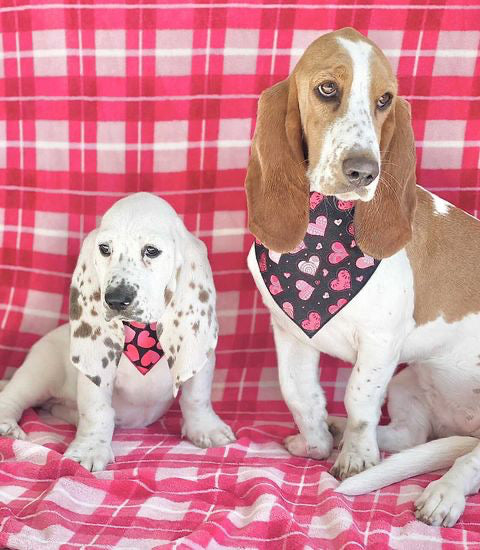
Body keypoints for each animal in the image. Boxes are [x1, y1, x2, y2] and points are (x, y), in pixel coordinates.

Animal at [0, 193, 234, 470]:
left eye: (151, 250)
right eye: (104, 249)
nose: (116, 299)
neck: (143, 332)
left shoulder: (199, 358)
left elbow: (196, 397)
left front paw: (206, 429)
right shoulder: (97, 369)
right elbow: (97, 411)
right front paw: (90, 449)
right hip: (39, 371)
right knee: (12, 395)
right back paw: (7, 425)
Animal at [246, 27, 480, 532]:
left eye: (385, 99)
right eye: (326, 88)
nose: (364, 171)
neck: (325, 223)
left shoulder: (380, 344)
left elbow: (359, 402)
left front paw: (355, 458)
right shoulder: (289, 334)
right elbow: (301, 396)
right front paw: (315, 443)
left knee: (469, 459)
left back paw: (443, 493)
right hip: (410, 385)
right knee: (412, 437)